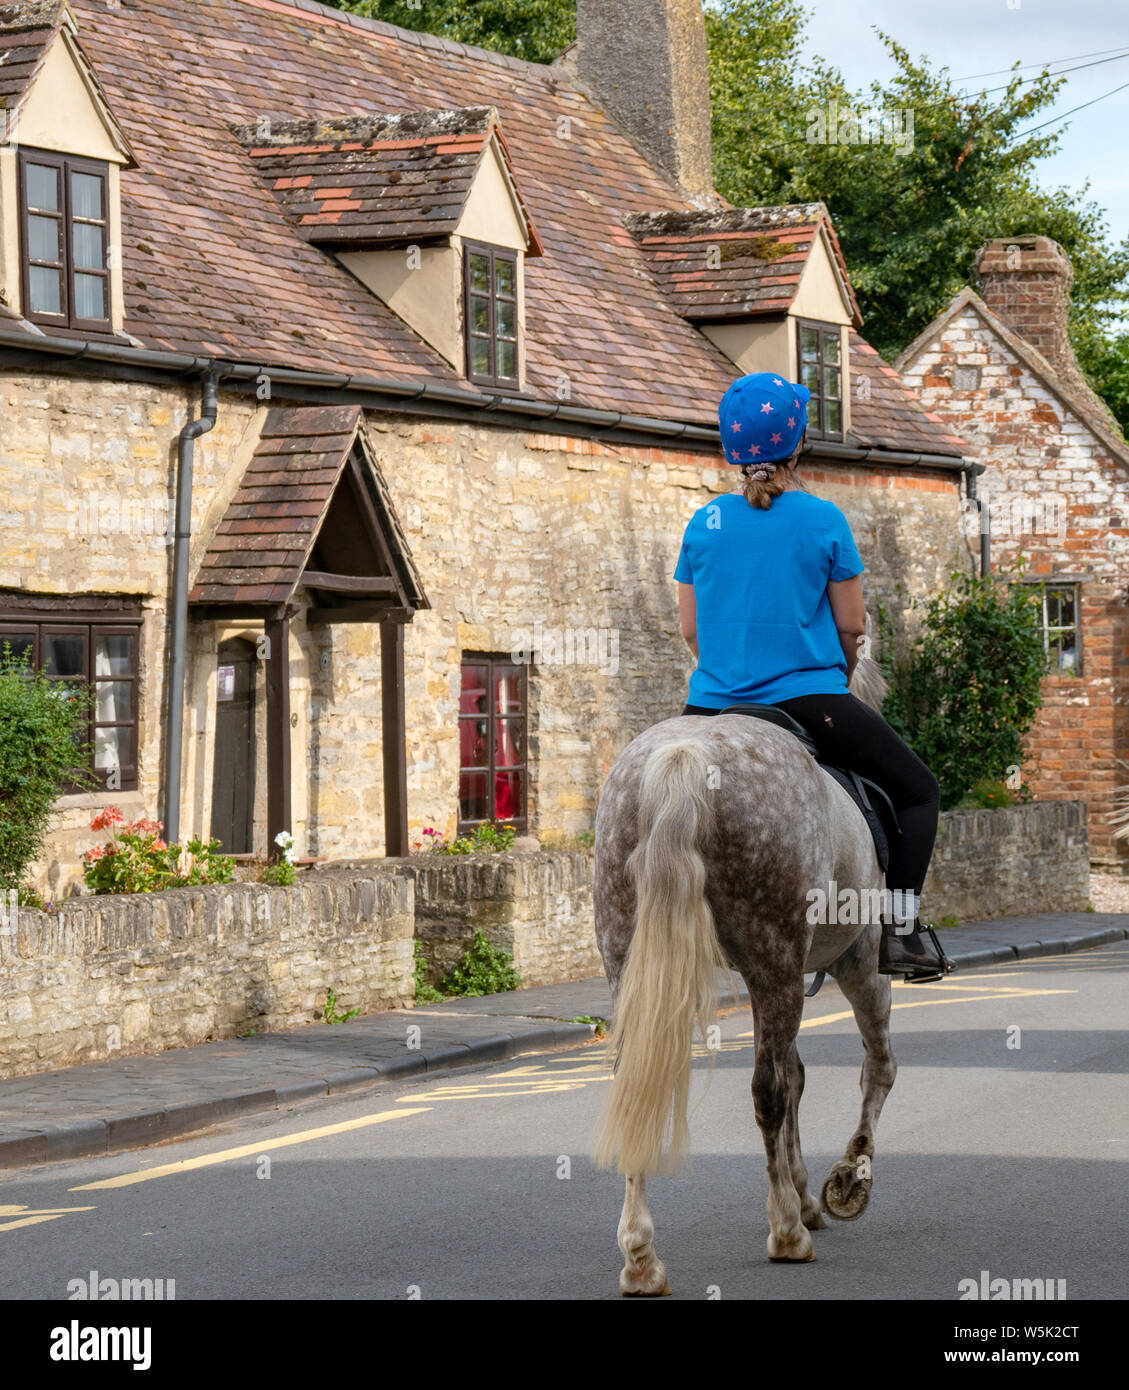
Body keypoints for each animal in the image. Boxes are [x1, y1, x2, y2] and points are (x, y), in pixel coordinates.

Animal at [595, 672, 895, 1289]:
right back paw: (787, 1233)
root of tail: (685, 756)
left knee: (636, 1079)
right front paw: (847, 1179)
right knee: (769, 1092)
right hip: (778, 961)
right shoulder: (859, 959)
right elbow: (875, 1068)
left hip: (631, 955)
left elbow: (800, 1074)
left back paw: (641, 1259)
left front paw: (808, 1191)